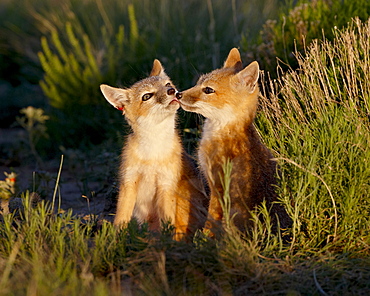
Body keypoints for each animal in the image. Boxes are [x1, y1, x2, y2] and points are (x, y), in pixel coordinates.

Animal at [99, 60, 207, 240]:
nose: (172, 91)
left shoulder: (166, 185)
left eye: (168, 85)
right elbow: (121, 218)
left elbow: (168, 222)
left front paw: (169, 243)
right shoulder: (129, 182)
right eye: (147, 96)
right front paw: (116, 241)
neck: (152, 154)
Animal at [178, 47, 290, 235]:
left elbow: (210, 223)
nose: (178, 94)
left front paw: (202, 239)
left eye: (208, 90)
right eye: (198, 83)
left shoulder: (217, 189)